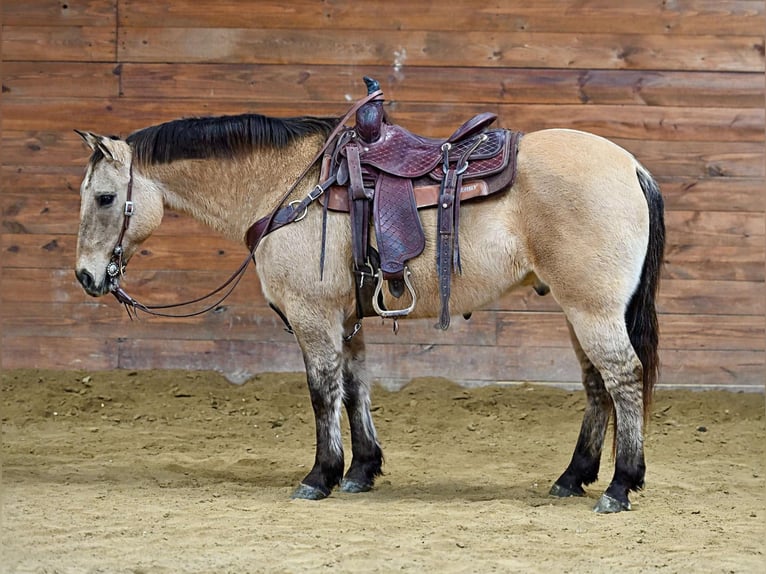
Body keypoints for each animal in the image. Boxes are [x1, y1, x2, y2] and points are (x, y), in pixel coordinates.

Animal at [75, 80, 668, 512]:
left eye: (104, 197)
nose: (85, 276)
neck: (291, 188)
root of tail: (631, 166)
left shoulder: (312, 315)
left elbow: (322, 391)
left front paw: (320, 475)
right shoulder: (346, 317)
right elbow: (355, 386)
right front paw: (361, 469)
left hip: (592, 309)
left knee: (623, 377)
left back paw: (620, 485)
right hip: (577, 310)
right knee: (596, 385)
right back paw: (573, 477)